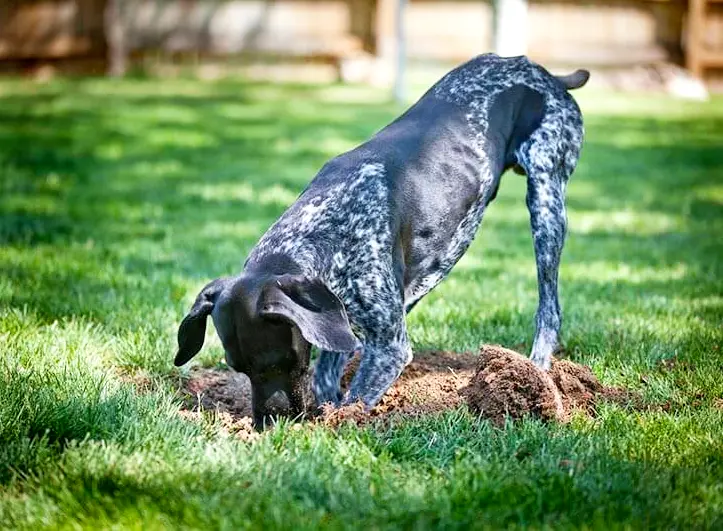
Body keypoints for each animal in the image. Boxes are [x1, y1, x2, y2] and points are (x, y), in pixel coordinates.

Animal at [174, 54, 588, 428]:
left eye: (279, 362)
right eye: (238, 368)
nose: (268, 425)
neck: (319, 230)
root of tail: (546, 74)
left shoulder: (389, 348)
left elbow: (352, 402)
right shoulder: (339, 320)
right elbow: (328, 378)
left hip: (546, 201)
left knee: (549, 308)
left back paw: (537, 373)